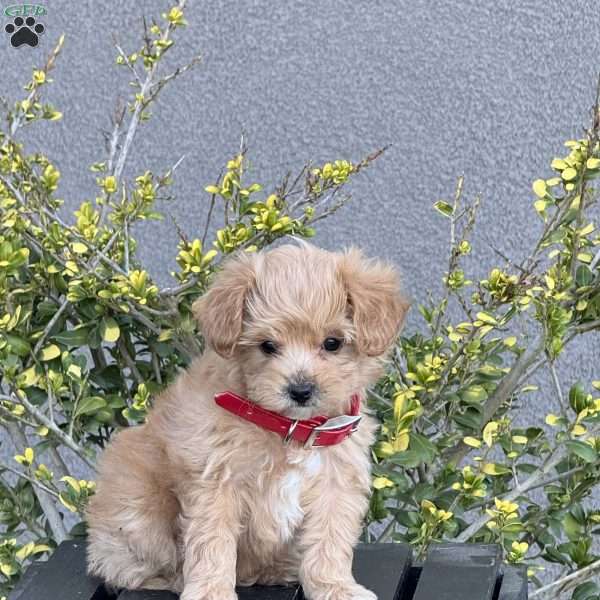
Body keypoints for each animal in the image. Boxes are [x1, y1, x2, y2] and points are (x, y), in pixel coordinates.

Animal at [86, 241, 410, 596]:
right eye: (267, 346)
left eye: (333, 343)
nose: (300, 390)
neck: (289, 428)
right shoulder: (215, 482)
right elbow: (211, 543)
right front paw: (210, 591)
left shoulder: (336, 483)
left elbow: (329, 542)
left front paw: (336, 588)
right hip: (137, 510)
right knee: (126, 567)